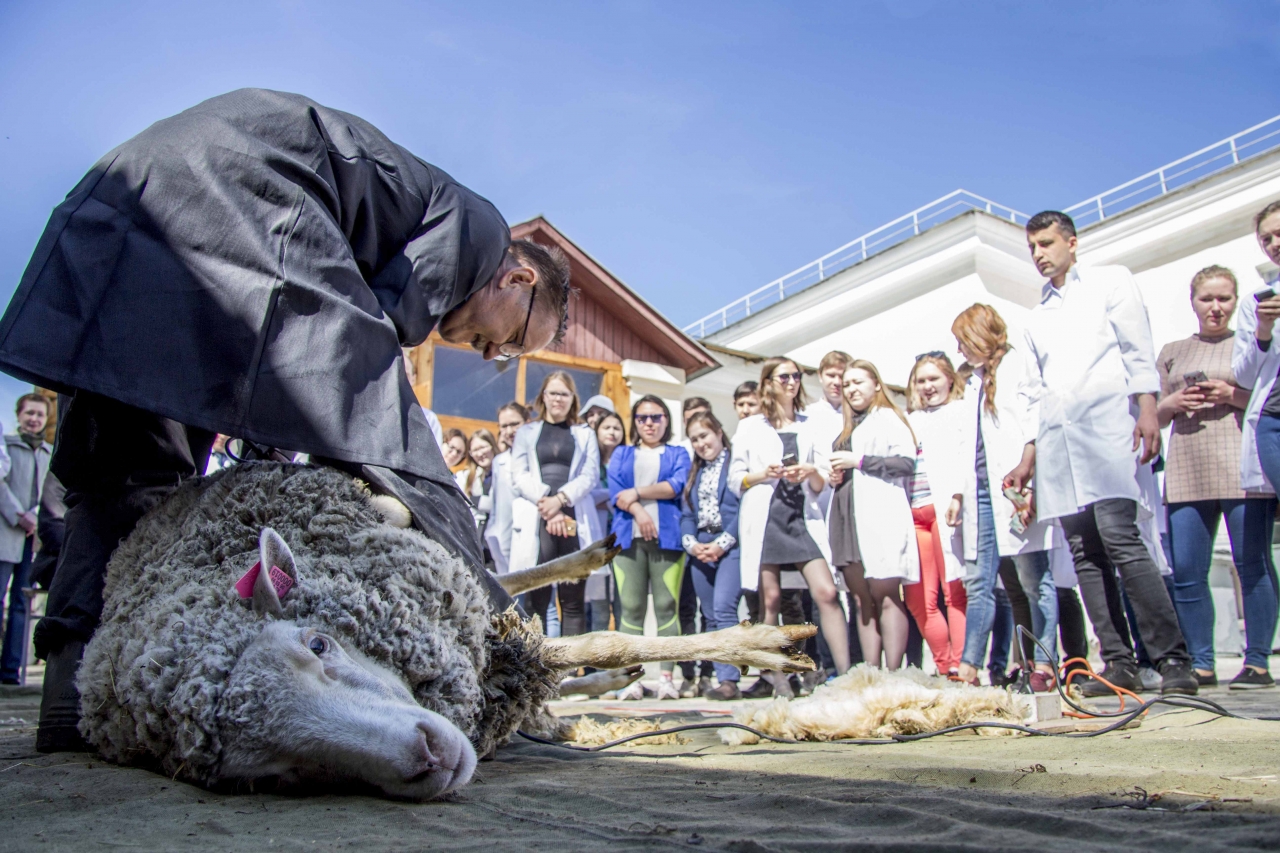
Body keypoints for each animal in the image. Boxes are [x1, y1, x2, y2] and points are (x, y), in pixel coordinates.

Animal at [80, 458, 814, 799]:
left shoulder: (473, 619)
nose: (429, 758)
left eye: (318, 644)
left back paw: (590, 564)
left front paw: (766, 644)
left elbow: (601, 636)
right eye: (272, 775)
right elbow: (587, 647)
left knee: (508, 578)